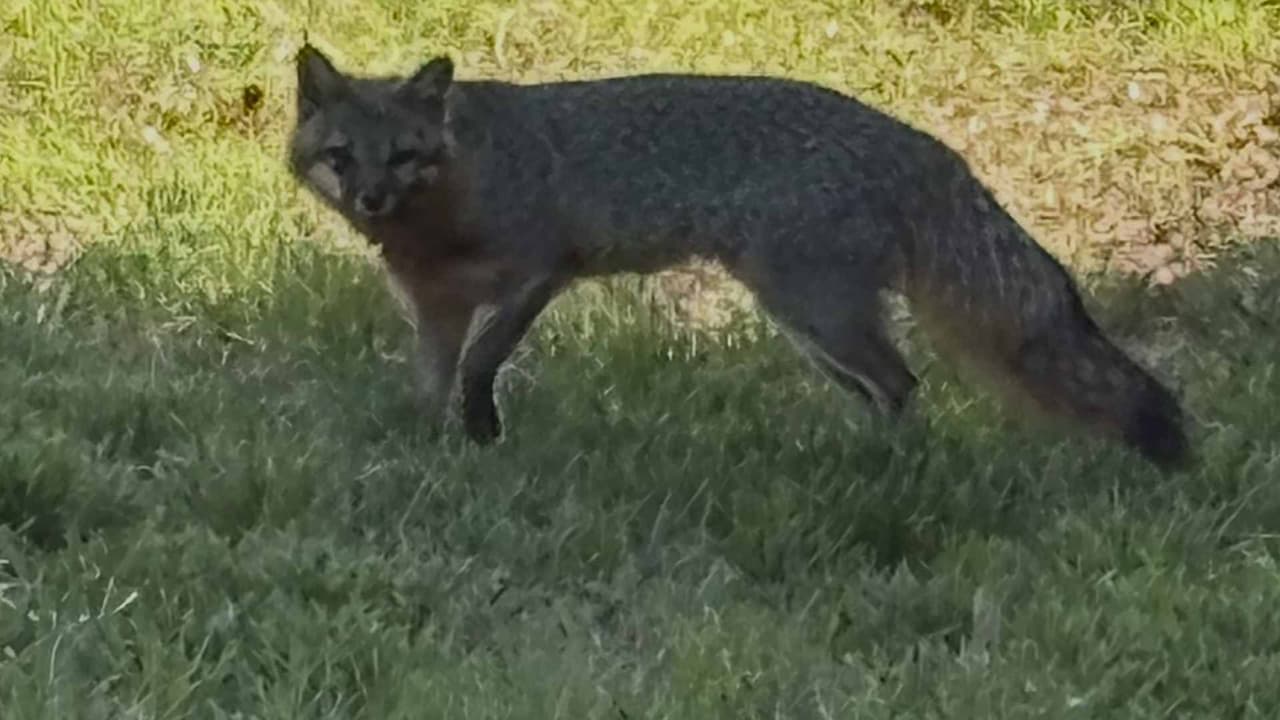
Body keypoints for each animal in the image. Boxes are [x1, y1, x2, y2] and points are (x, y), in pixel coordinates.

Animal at [285, 43, 1191, 472]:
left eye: (403, 156)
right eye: (343, 157)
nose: (371, 200)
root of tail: (917, 143)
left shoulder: (540, 271)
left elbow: (480, 365)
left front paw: (482, 431)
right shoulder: (434, 307)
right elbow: (430, 386)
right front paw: (433, 449)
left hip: (809, 310)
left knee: (902, 383)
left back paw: (885, 470)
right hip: (812, 328)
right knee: (885, 392)